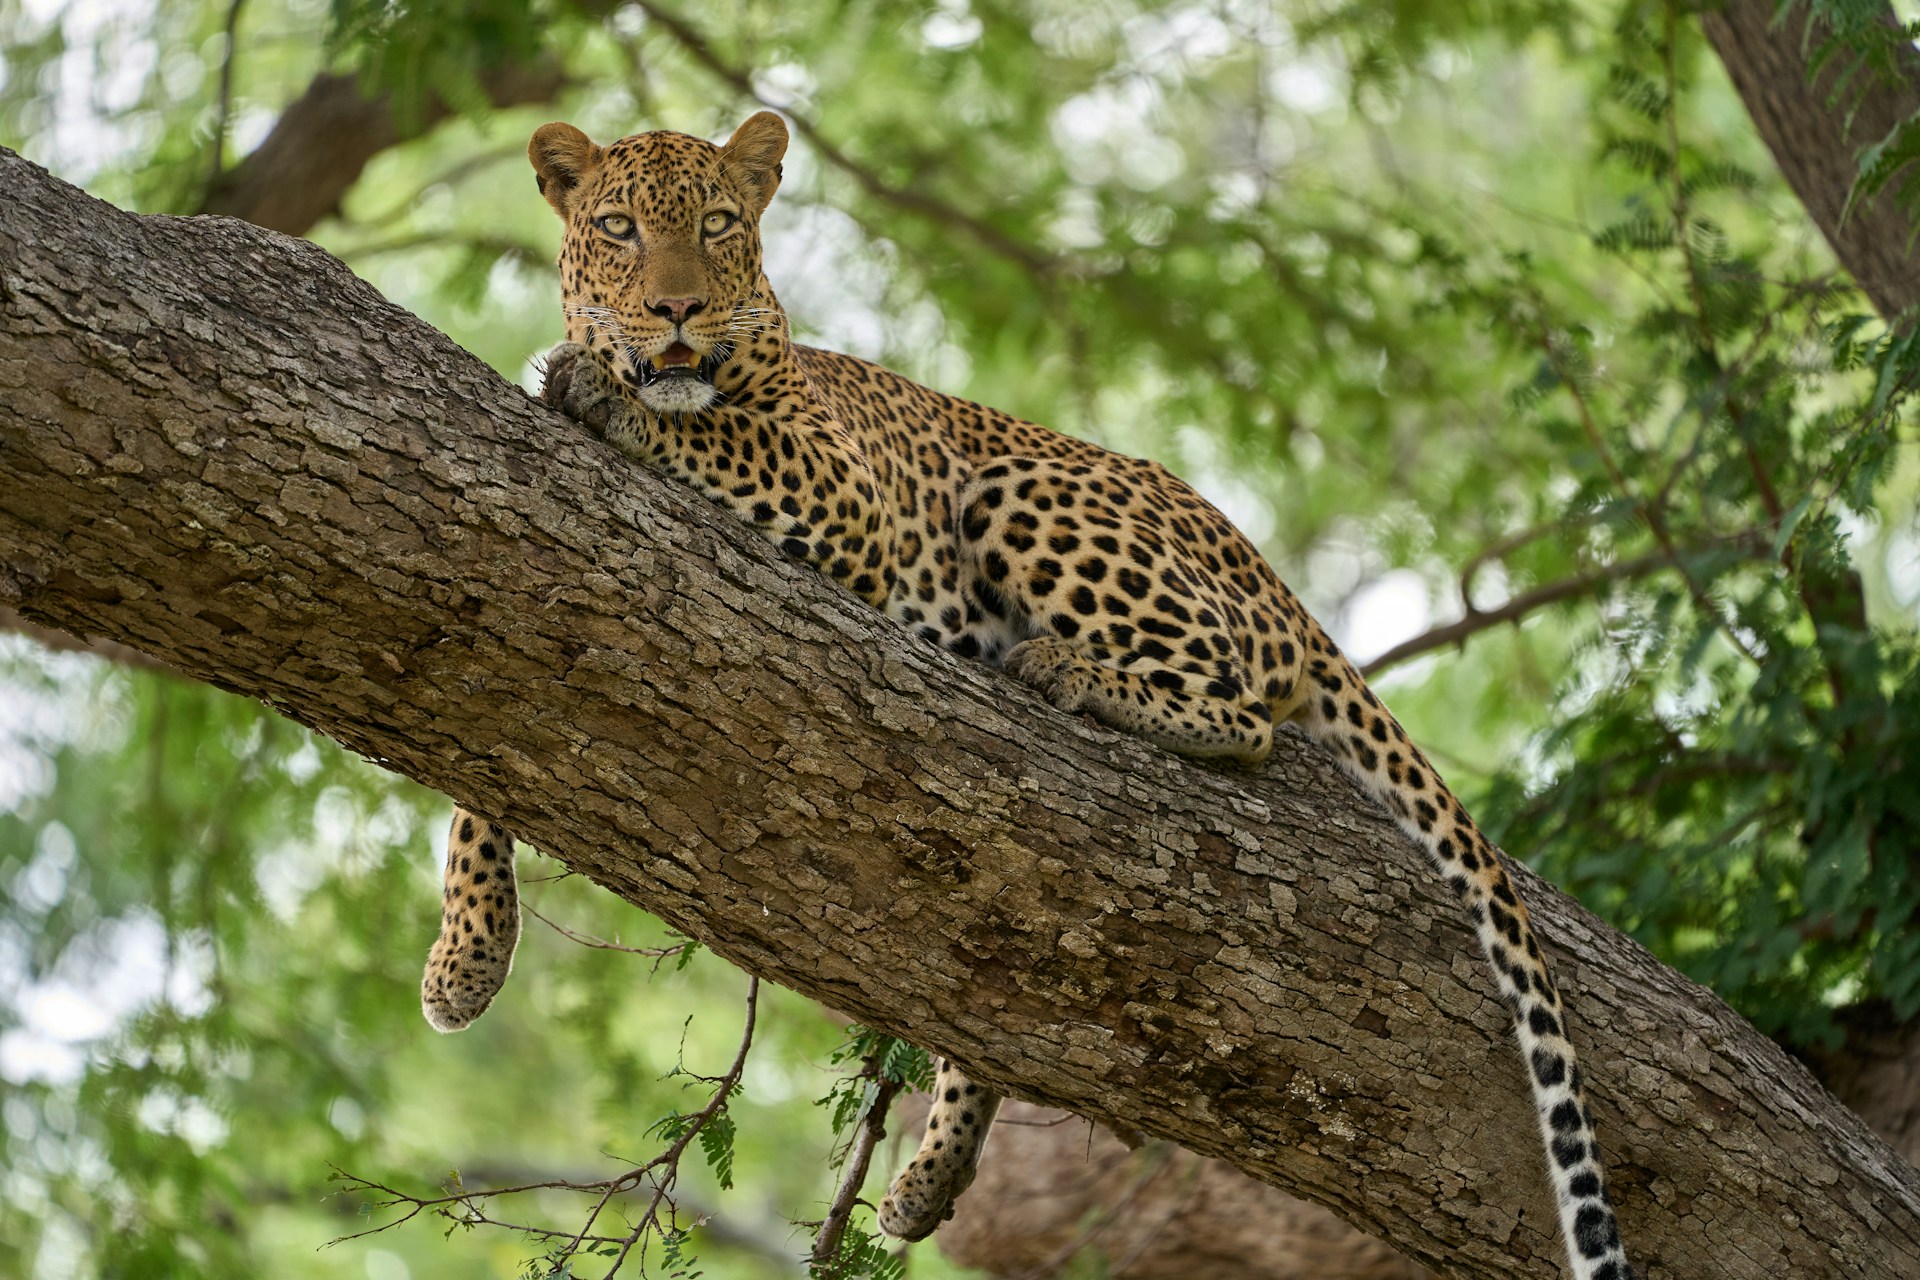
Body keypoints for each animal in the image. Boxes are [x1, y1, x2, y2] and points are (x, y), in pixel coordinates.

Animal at [418, 111, 1630, 1280]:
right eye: (619, 229)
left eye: (717, 224)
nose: (675, 308)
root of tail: (1276, 579)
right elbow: (478, 757)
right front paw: (465, 958)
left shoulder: (847, 493)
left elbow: (710, 426)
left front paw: (603, 392)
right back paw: (931, 1170)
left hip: (1023, 489)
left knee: (1240, 713)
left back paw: (1071, 673)